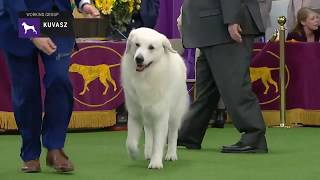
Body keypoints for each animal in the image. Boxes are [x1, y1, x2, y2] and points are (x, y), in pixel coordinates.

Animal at [121, 27, 189, 169]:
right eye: (137, 45)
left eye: (151, 47)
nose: (139, 59)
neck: (146, 76)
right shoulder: (135, 115)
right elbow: (130, 142)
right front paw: (134, 154)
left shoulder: (160, 115)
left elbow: (159, 142)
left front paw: (156, 162)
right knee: (149, 133)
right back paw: (148, 152)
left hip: (174, 114)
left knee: (173, 134)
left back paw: (171, 155)